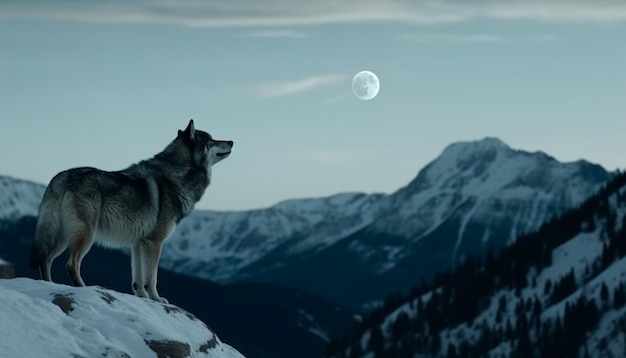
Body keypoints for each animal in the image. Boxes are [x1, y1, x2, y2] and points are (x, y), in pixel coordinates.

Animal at [29, 120, 232, 302]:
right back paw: (83, 287)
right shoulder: (155, 242)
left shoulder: (138, 243)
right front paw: (157, 298)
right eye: (211, 140)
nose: (231, 141)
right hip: (85, 235)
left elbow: (138, 279)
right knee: (71, 264)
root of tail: (59, 178)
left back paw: (49, 285)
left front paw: (142, 297)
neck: (177, 176)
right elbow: (152, 277)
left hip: (61, 237)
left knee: (45, 260)